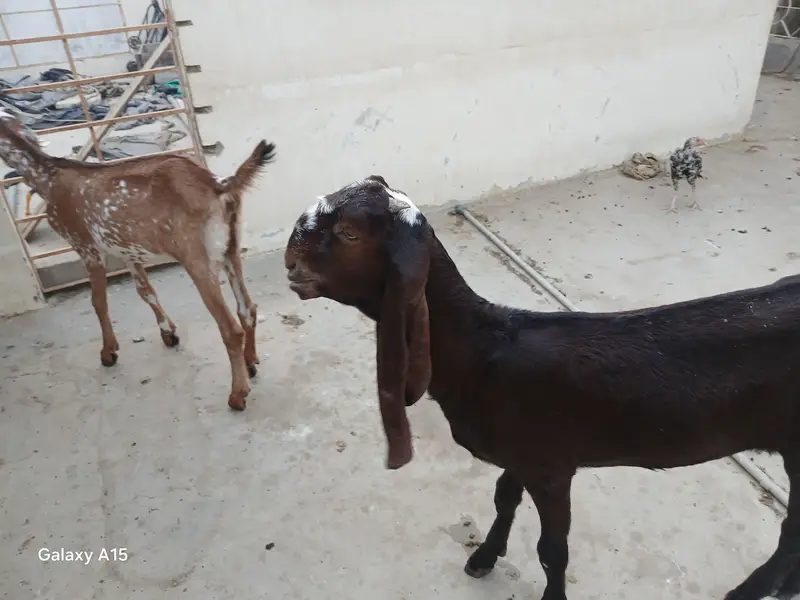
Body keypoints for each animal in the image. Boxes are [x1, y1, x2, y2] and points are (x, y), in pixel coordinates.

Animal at [0, 108, 275, 411]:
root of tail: (218, 184)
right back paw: (251, 363)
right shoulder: (126, 249)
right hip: (230, 248)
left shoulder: (86, 245)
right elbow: (145, 291)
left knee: (230, 328)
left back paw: (237, 394)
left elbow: (98, 302)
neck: (46, 176)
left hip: (197, 257)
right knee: (247, 308)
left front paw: (108, 352)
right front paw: (169, 333)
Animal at [284, 175, 800, 600]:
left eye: (350, 234)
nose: (290, 259)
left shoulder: (552, 467)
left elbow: (553, 550)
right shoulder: (521, 453)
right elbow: (503, 498)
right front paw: (484, 556)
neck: (484, 350)